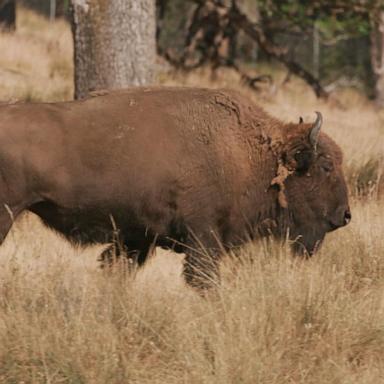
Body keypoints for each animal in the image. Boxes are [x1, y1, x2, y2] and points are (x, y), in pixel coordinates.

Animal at [0, 87, 350, 288]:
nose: (345, 216)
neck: (248, 152)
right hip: (7, 214)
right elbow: (203, 280)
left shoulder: (136, 238)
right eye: (326, 166)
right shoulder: (203, 237)